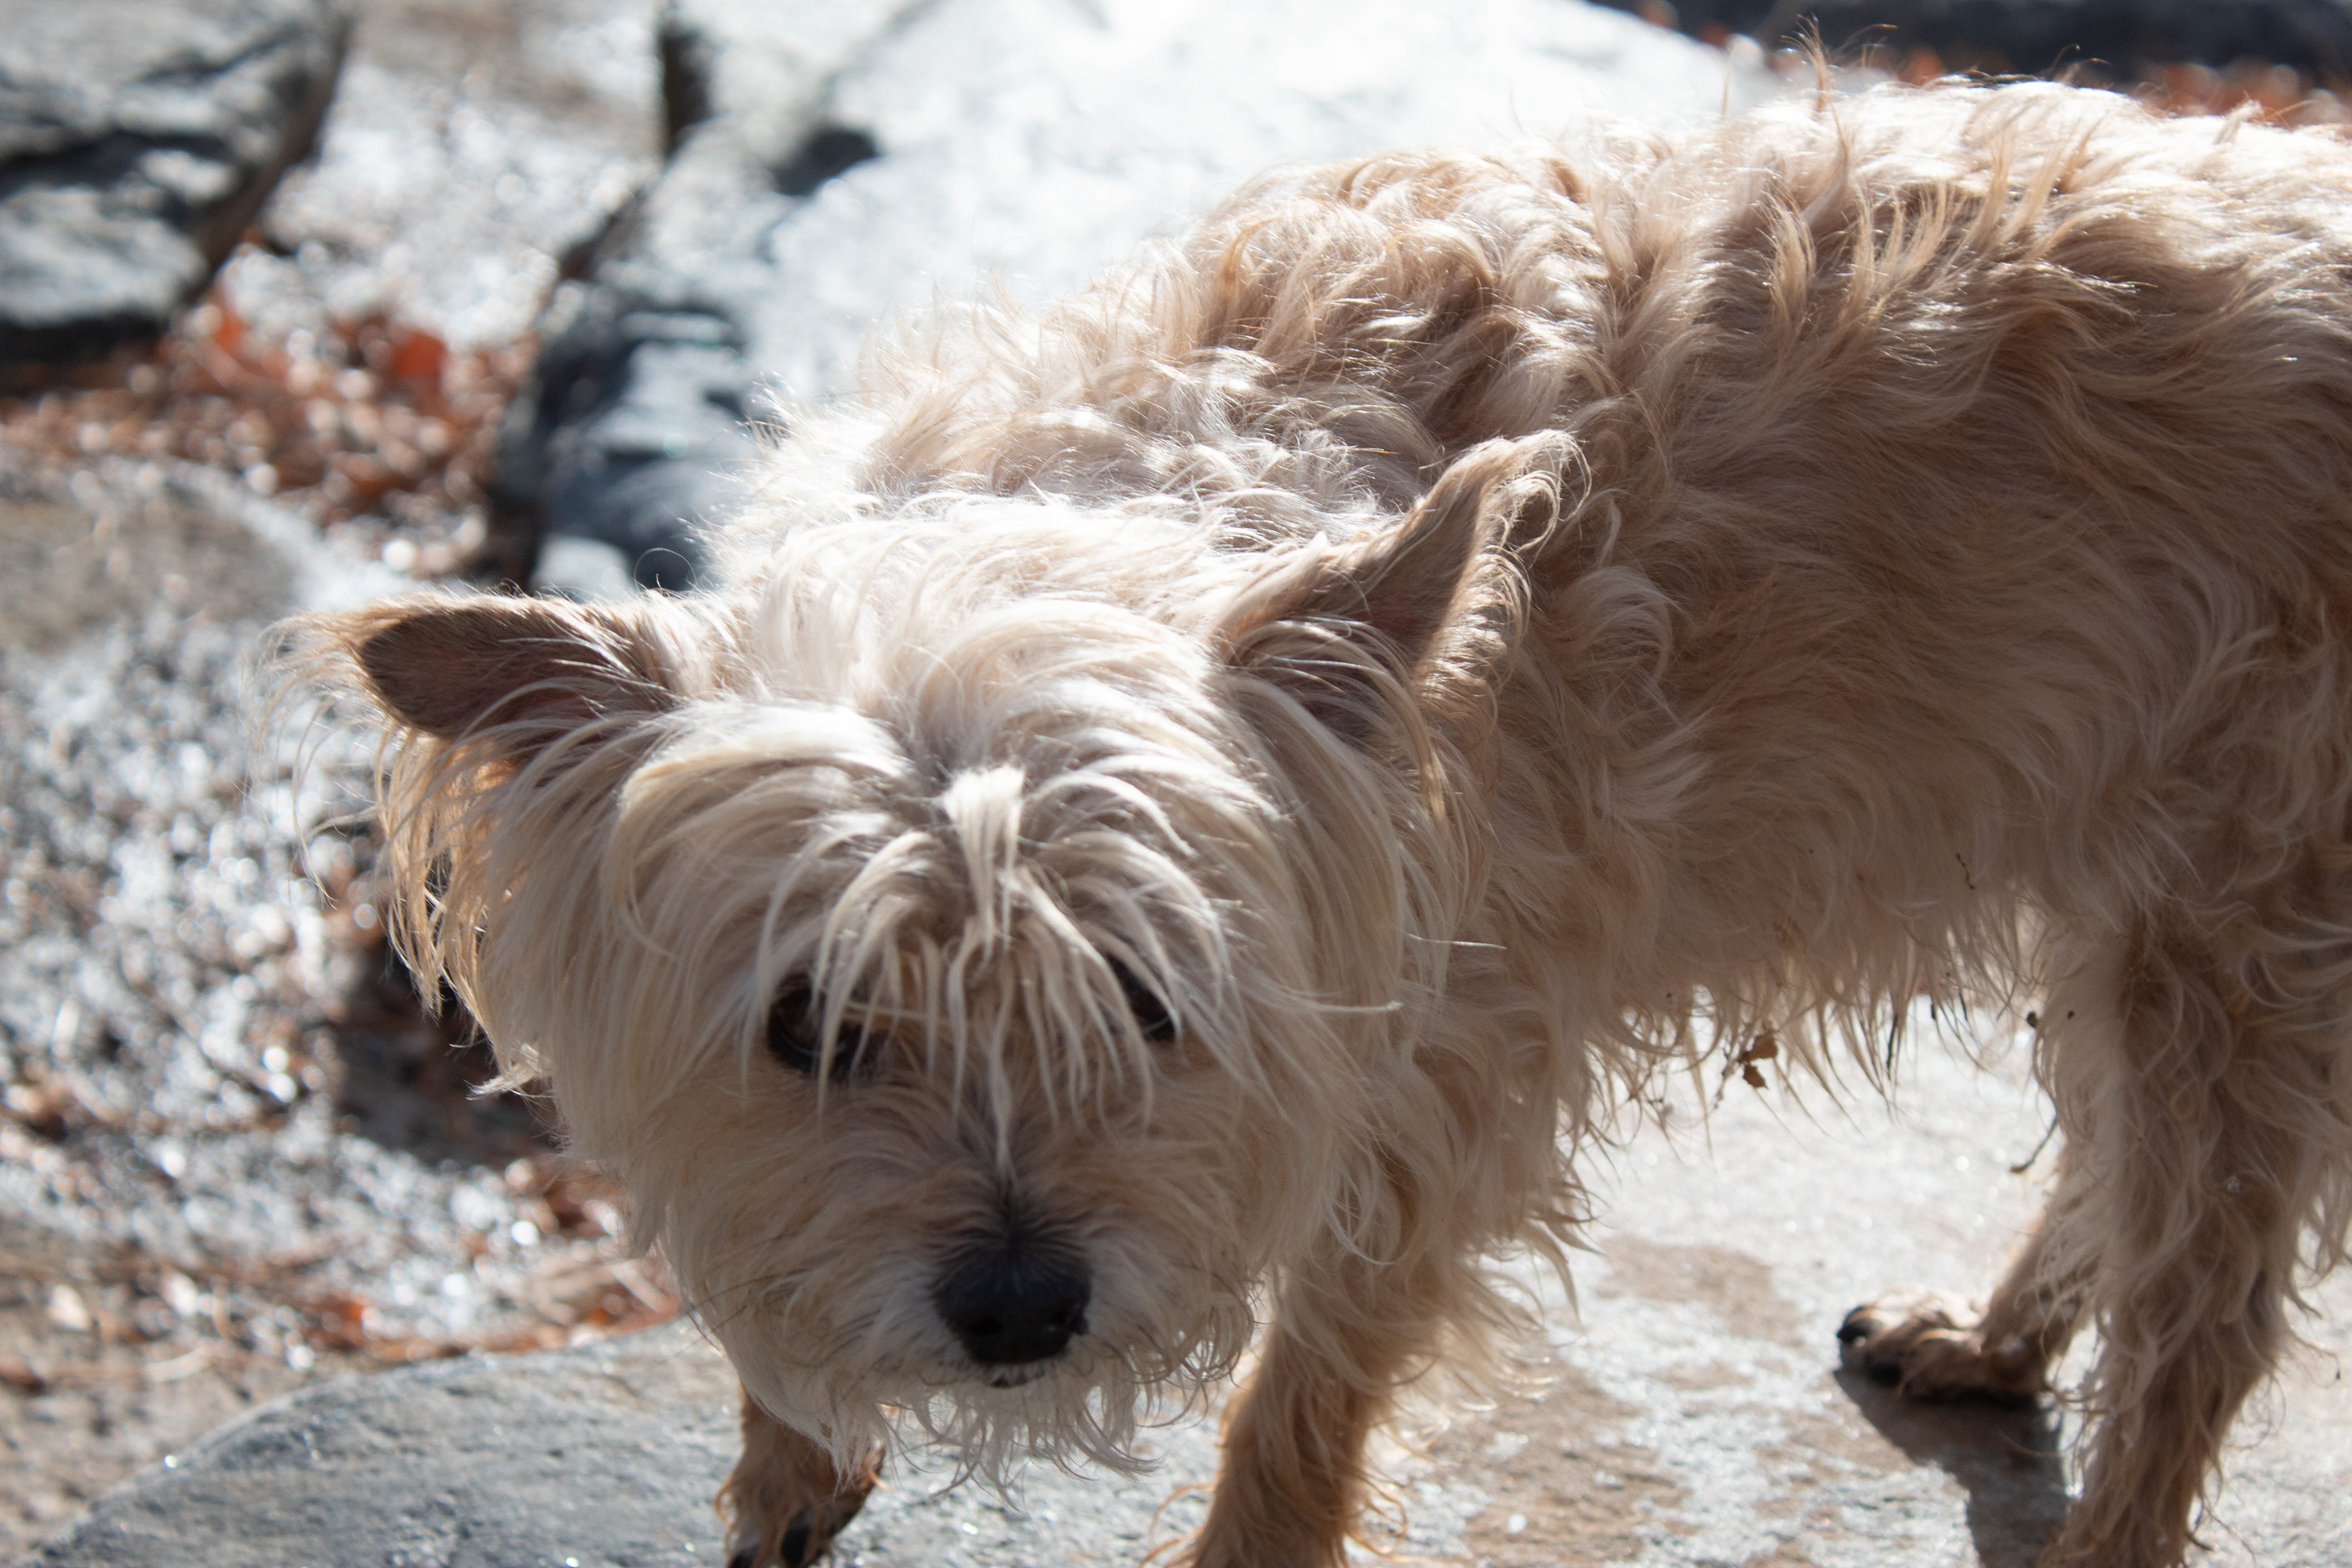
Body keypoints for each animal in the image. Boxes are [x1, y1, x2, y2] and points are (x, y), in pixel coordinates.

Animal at [291, 78, 2352, 1568]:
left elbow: (1313, 1378)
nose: (1020, 1307)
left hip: (2246, 924)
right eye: (810, 1027)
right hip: (2132, 898)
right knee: (2115, 1176)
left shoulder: (1442, 1074)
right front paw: (787, 1456)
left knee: (2205, 1304)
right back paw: (1993, 1338)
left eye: (1149, 1003)